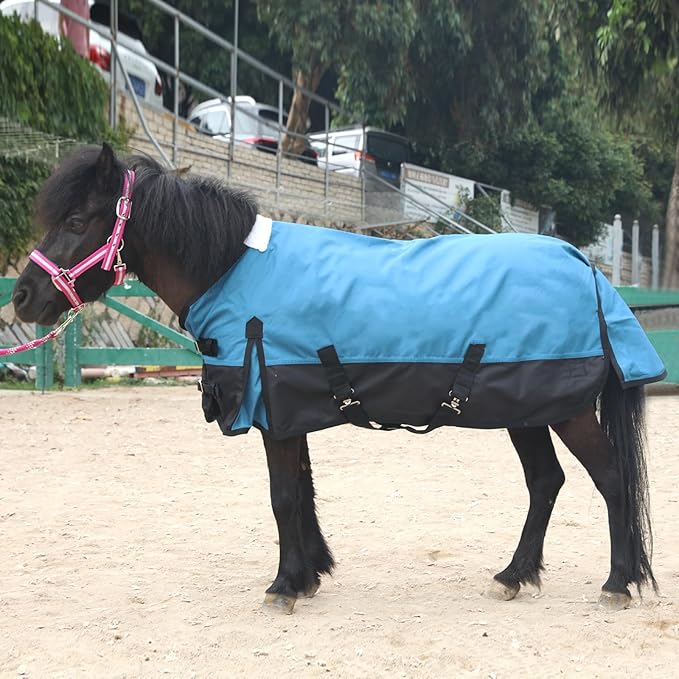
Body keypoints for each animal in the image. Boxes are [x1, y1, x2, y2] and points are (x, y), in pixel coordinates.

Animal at [13, 143, 663, 614]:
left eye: (77, 218)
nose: (22, 297)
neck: (232, 268)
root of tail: (586, 267)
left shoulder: (272, 410)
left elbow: (281, 496)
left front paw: (283, 585)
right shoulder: (287, 408)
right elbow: (301, 493)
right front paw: (308, 575)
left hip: (564, 409)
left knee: (611, 480)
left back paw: (618, 583)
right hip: (525, 408)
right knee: (546, 482)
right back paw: (514, 575)